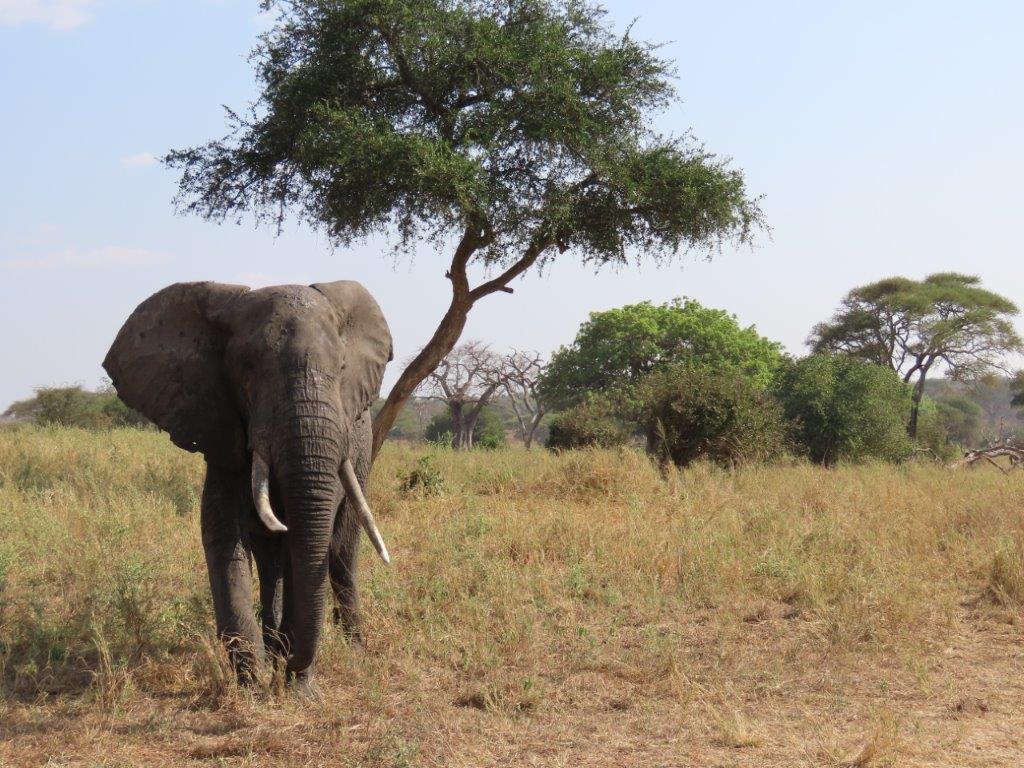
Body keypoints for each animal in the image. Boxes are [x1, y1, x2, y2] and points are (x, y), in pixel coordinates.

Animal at [103, 280, 393, 693]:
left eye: (340, 369)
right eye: (247, 371)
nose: (293, 668)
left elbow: (304, 546)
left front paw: (296, 688)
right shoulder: (222, 430)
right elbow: (224, 537)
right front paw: (254, 686)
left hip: (363, 457)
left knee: (340, 551)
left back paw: (351, 650)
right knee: (272, 558)